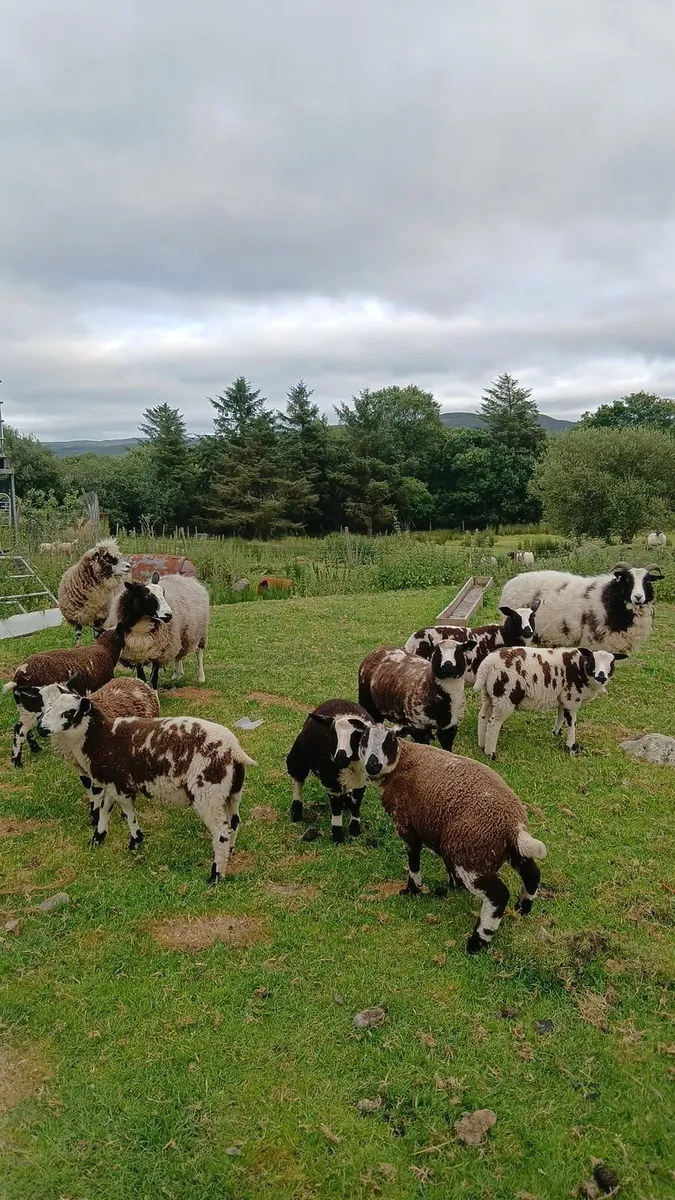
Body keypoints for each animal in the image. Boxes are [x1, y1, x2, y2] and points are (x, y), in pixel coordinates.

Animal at [37, 691, 256, 880]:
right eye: (49, 706)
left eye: (69, 712)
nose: (41, 728)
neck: (102, 739)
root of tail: (234, 749)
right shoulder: (113, 783)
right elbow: (105, 809)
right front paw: (97, 838)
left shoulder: (122, 785)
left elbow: (128, 812)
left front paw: (135, 840)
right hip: (231, 793)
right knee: (234, 823)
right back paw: (229, 855)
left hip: (208, 793)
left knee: (221, 833)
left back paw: (215, 875)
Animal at [286, 699, 374, 842]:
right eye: (333, 734)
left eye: (355, 735)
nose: (339, 759)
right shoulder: (330, 780)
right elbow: (336, 806)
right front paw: (338, 836)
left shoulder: (361, 779)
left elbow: (356, 802)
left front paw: (354, 831)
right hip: (298, 757)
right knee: (298, 780)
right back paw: (296, 812)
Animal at [346, 719, 547, 953]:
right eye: (364, 738)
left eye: (391, 740)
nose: (372, 765)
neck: (403, 761)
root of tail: (513, 825)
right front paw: (453, 883)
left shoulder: (405, 823)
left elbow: (413, 857)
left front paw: (413, 889)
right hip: (505, 850)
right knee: (531, 873)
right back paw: (523, 907)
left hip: (470, 853)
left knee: (498, 895)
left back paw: (478, 941)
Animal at [474, 645, 627, 759]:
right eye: (592, 662)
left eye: (611, 664)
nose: (601, 677)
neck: (580, 668)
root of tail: (486, 665)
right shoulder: (571, 698)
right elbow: (571, 722)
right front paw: (572, 746)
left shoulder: (562, 697)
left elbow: (560, 715)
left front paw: (556, 733)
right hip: (505, 697)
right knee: (494, 722)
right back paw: (491, 754)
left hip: (489, 694)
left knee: (483, 716)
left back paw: (481, 745)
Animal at [499, 562, 664, 654]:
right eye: (628, 580)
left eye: (648, 581)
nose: (638, 597)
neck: (609, 597)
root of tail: (509, 584)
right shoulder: (593, 639)